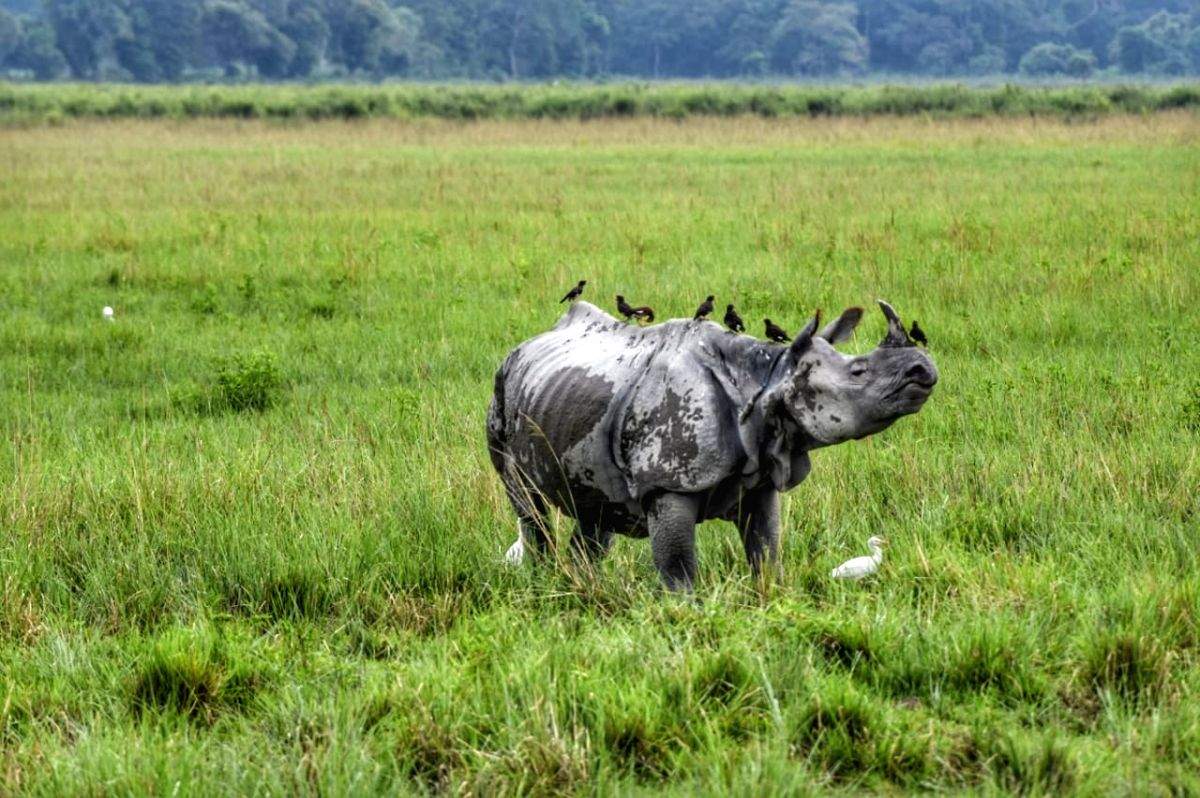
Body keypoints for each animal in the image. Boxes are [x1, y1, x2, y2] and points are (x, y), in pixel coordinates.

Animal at [486, 299, 937, 589]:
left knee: (596, 510)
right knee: (528, 504)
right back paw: (544, 581)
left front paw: (770, 599)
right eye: (859, 371)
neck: (768, 378)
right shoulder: (666, 484)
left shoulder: (761, 477)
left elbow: (766, 552)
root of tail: (525, 344)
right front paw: (684, 615)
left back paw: (581, 586)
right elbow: (679, 570)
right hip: (500, 390)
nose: (924, 369)